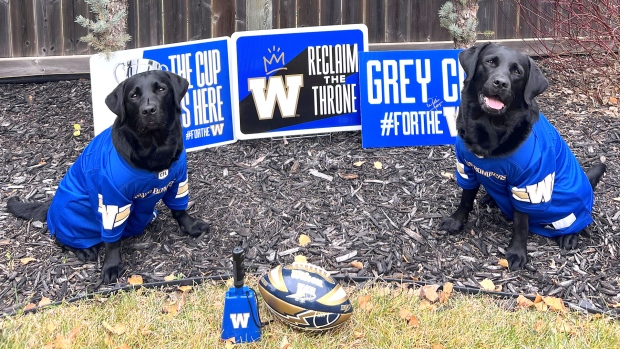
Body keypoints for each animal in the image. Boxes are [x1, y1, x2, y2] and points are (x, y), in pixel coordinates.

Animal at [7, 70, 209, 282]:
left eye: (161, 89)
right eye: (133, 95)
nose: (148, 110)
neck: (155, 148)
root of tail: (51, 205)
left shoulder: (178, 182)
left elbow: (179, 209)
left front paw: (191, 226)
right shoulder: (113, 201)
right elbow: (112, 240)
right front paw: (112, 265)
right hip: (75, 209)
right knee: (60, 238)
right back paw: (83, 249)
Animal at [440, 41, 604, 270]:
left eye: (517, 72)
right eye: (490, 62)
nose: (501, 83)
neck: (490, 127)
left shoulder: (528, 183)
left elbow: (520, 222)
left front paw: (517, 252)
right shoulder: (467, 168)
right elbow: (466, 198)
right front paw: (456, 221)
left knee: (580, 218)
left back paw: (570, 235)